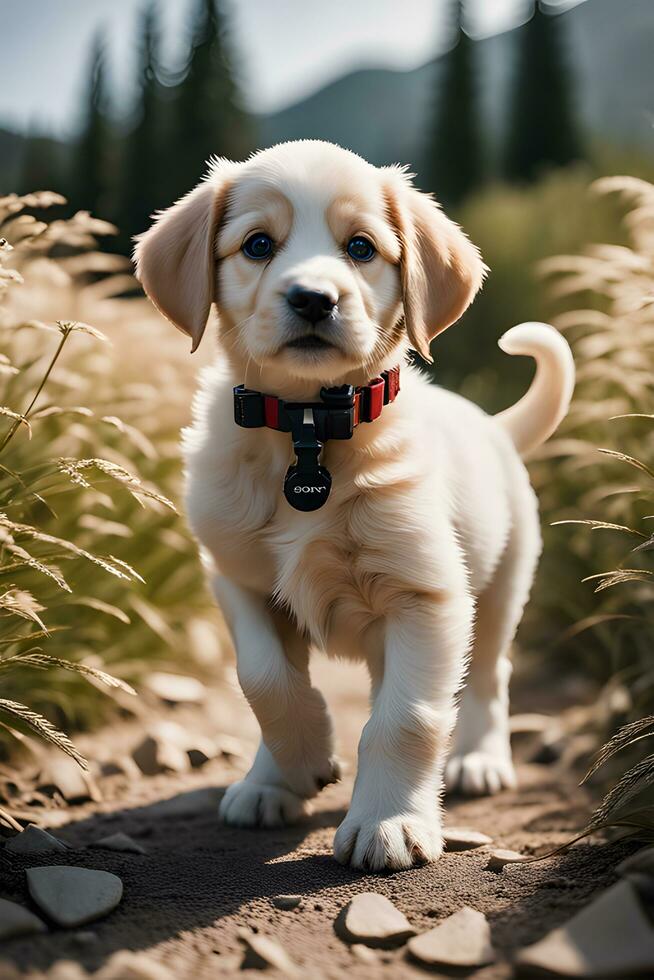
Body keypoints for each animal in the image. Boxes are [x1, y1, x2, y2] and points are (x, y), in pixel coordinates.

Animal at [135, 140, 576, 872]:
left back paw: (479, 759)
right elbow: (265, 680)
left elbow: (407, 719)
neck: (308, 429)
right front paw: (292, 768)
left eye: (361, 247)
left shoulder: (427, 597)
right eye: (258, 244)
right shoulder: (238, 578)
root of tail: (491, 425)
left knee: (489, 674)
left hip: (502, 584)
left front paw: (387, 822)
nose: (314, 298)